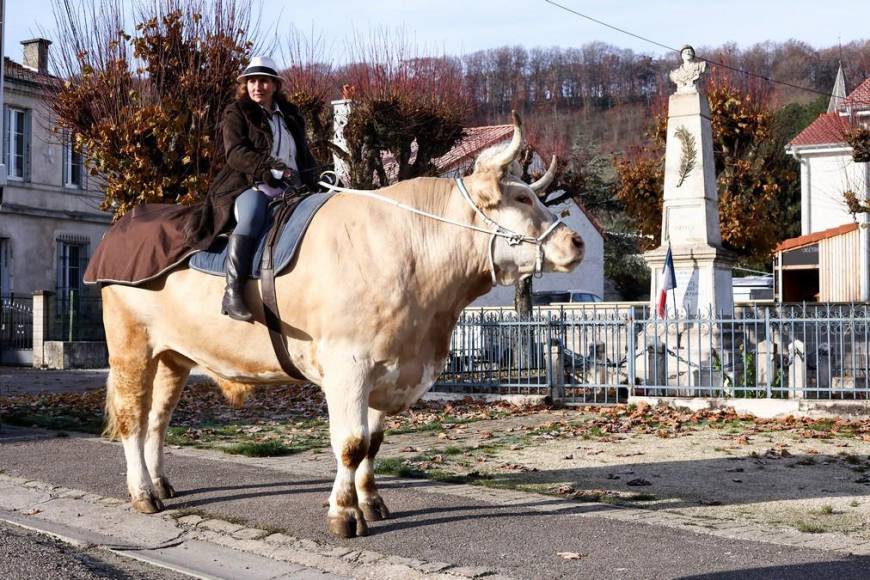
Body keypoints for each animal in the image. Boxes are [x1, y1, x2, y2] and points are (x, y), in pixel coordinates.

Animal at [104, 114, 584, 540]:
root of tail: (123, 226)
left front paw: (371, 503)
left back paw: (161, 483)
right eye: (521, 200)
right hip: (130, 347)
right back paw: (143, 493)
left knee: (158, 419)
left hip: (173, 356)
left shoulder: (388, 367)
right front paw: (344, 514)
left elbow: (374, 442)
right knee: (132, 419)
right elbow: (351, 443)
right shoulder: (348, 364)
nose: (576, 242)